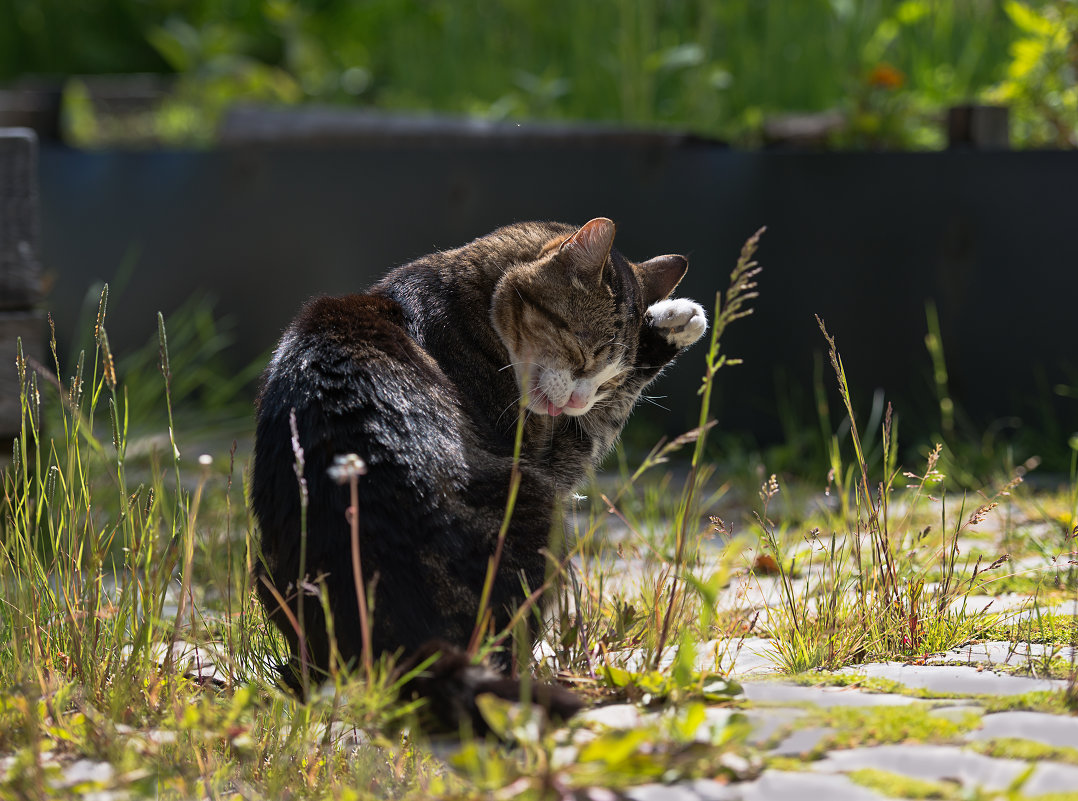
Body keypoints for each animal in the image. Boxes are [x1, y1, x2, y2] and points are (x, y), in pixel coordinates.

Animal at [251, 217, 707, 720]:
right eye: (583, 354)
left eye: (607, 379)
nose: (579, 400)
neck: (466, 301)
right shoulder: (551, 454)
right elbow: (599, 426)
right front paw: (677, 320)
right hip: (538, 511)